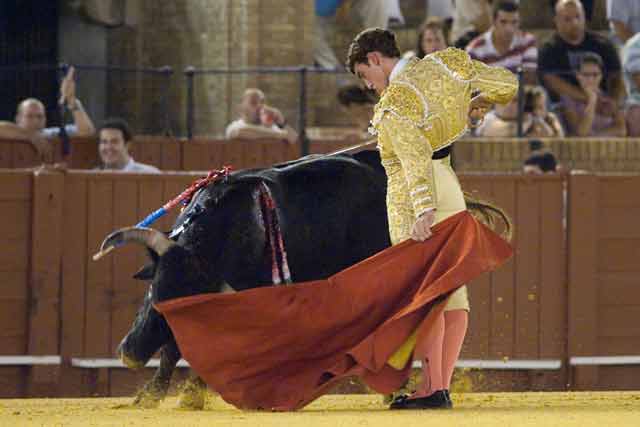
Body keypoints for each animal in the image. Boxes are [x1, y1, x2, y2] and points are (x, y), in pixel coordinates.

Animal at [102, 151, 392, 404]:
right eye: (152, 292)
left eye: (178, 311)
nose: (130, 355)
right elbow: (175, 350)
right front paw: (150, 396)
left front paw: (190, 395)